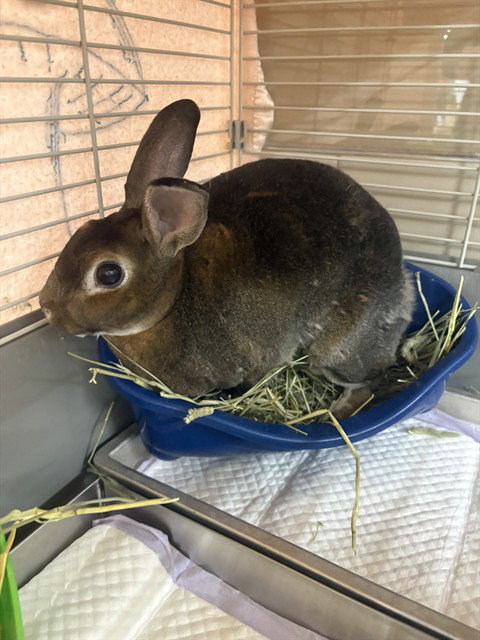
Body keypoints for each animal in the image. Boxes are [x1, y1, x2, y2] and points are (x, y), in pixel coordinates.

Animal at [40, 99, 414, 418]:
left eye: (108, 274)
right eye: (80, 231)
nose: (47, 308)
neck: (171, 302)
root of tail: (402, 284)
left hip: (340, 351)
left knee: (364, 384)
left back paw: (337, 411)